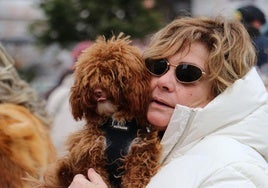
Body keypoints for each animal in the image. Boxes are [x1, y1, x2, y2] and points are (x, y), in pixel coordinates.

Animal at [39, 34, 161, 188]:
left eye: (113, 72)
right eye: (90, 75)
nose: (97, 91)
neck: (117, 125)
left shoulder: (140, 153)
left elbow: (136, 177)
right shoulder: (91, 153)